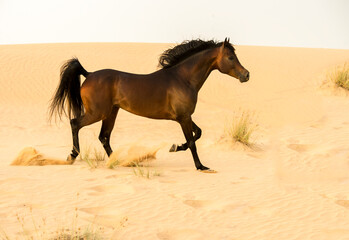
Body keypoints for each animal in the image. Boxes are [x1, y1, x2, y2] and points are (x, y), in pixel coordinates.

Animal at [49, 38, 250, 171]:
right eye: (231, 57)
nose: (246, 75)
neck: (183, 78)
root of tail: (89, 74)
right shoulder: (183, 118)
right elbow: (193, 141)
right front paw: (200, 166)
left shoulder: (185, 116)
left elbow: (198, 133)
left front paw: (175, 147)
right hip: (97, 113)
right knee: (75, 123)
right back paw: (72, 155)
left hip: (111, 113)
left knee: (104, 137)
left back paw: (120, 162)